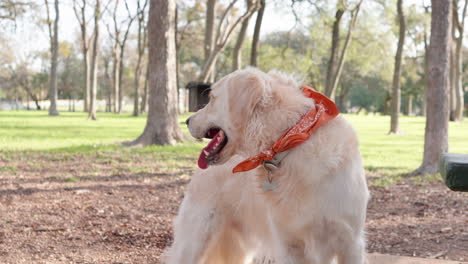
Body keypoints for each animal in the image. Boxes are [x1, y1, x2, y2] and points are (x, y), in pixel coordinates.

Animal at [165, 68, 370, 264]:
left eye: (212, 99)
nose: (187, 121)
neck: (292, 140)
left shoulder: (350, 243)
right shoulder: (289, 245)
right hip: (195, 239)